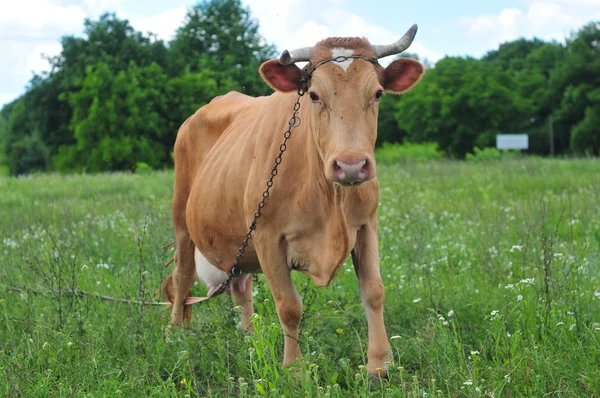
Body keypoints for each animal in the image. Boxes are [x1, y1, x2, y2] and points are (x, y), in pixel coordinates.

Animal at [163, 23, 426, 378]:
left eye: (377, 93)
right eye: (314, 94)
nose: (351, 165)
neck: (329, 198)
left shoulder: (367, 225)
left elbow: (374, 291)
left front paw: (379, 364)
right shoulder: (266, 236)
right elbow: (288, 305)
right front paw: (295, 370)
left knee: (240, 286)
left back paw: (250, 339)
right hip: (182, 221)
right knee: (183, 276)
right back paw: (175, 332)